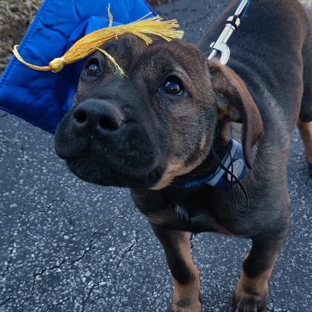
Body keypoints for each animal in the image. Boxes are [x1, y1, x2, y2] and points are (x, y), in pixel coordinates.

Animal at [54, 0, 312, 312]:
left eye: (172, 86)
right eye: (92, 68)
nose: (92, 116)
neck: (190, 180)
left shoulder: (274, 226)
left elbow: (257, 264)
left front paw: (251, 296)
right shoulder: (162, 224)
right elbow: (181, 267)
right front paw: (186, 303)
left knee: (306, 124)